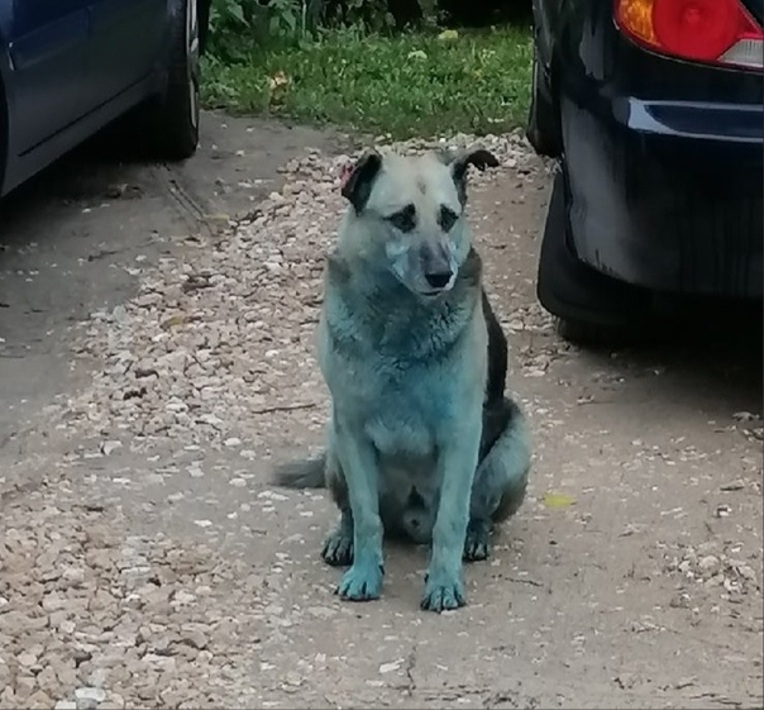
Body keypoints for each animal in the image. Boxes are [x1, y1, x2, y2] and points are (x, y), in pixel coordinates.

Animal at [274, 147, 532, 616]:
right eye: (401, 219)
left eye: (448, 218)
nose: (441, 274)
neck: (400, 321)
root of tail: (412, 523)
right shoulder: (352, 431)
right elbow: (366, 517)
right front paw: (364, 571)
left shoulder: (461, 433)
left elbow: (451, 518)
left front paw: (444, 582)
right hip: (334, 448)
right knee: (354, 513)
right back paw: (343, 539)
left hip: (515, 447)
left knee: (477, 511)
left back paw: (476, 536)